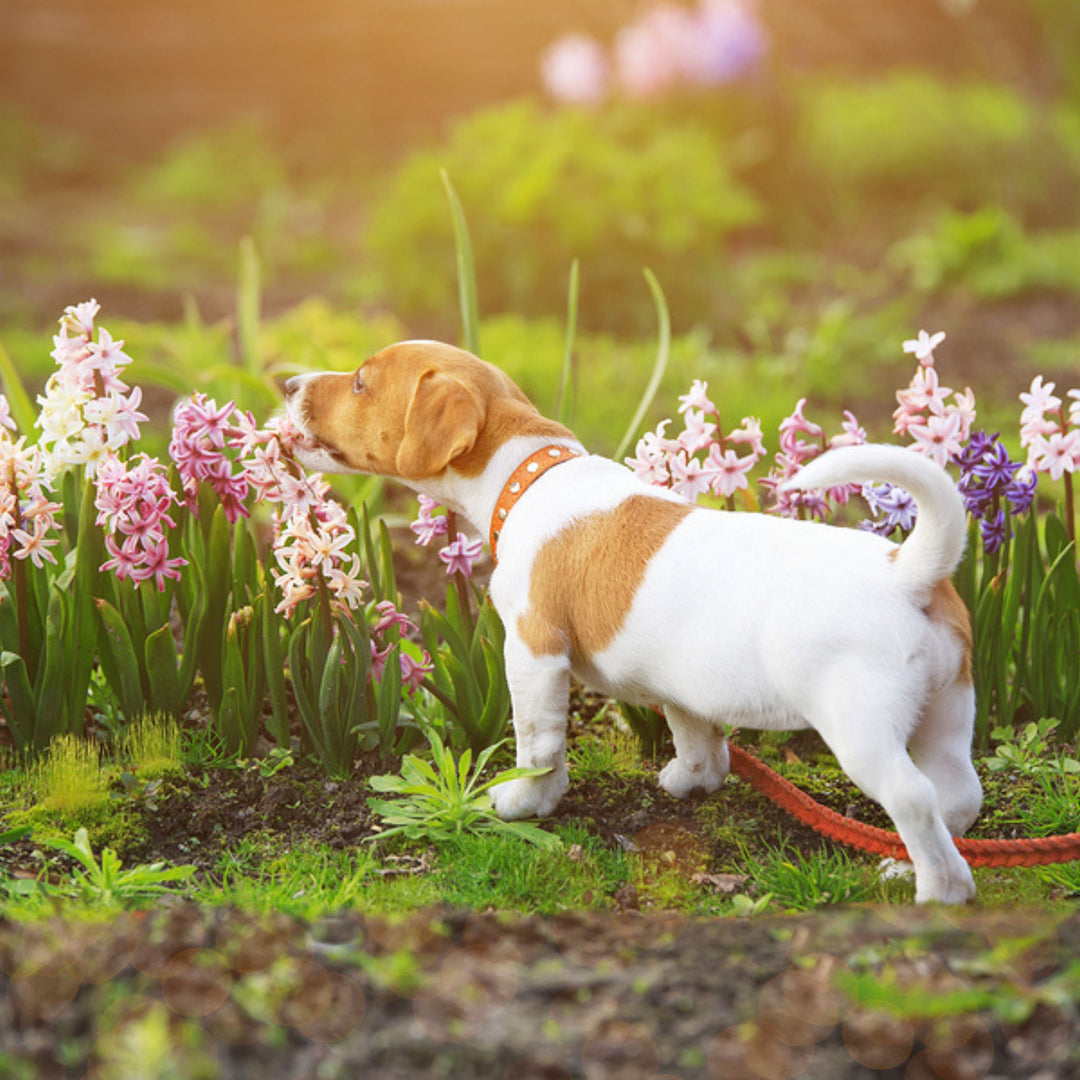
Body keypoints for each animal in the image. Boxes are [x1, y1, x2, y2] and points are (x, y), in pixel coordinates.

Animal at [282, 339, 984, 902]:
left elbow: (537, 743)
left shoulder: (532, 654)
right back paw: (905, 866)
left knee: (914, 798)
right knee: (957, 797)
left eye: (360, 383)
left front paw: (527, 803)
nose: (287, 385)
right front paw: (691, 781)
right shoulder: (685, 687)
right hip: (948, 712)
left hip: (861, 728)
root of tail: (907, 569)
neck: (528, 475)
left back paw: (938, 890)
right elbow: (695, 734)